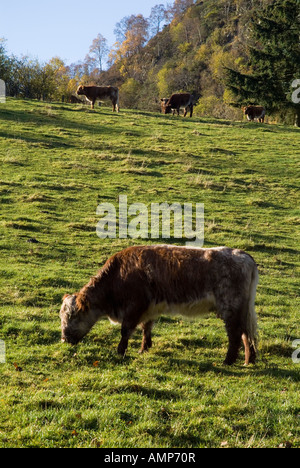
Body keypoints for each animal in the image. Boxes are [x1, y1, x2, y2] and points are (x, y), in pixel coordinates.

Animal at [59, 243, 258, 368]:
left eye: (72, 315)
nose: (64, 339)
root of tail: (243, 254)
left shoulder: (134, 308)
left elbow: (126, 331)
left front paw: (120, 352)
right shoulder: (149, 309)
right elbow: (146, 328)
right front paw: (143, 349)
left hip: (230, 308)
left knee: (235, 335)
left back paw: (228, 361)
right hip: (243, 310)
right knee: (247, 334)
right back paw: (249, 360)